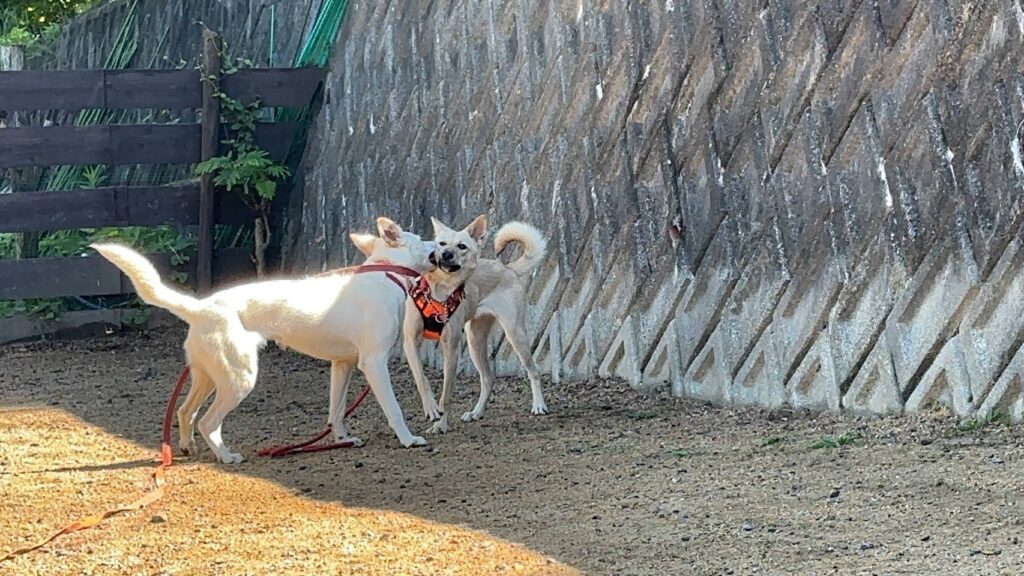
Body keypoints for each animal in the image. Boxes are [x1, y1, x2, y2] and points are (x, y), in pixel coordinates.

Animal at [91, 217, 433, 464]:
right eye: (423, 239)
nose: (440, 247)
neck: (385, 274)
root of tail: (200, 308)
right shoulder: (373, 364)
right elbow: (394, 409)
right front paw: (408, 439)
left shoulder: (342, 365)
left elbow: (336, 412)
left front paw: (342, 439)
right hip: (239, 379)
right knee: (207, 422)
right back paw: (226, 456)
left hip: (208, 377)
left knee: (185, 412)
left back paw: (189, 447)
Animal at [401, 215, 549, 434]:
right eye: (441, 243)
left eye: (461, 246)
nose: (445, 254)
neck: (440, 290)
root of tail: (507, 268)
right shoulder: (410, 341)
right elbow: (421, 378)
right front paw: (431, 408)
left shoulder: (451, 350)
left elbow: (446, 395)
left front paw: (441, 424)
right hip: (475, 341)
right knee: (487, 378)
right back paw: (477, 412)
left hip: (515, 333)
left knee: (533, 370)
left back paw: (539, 405)